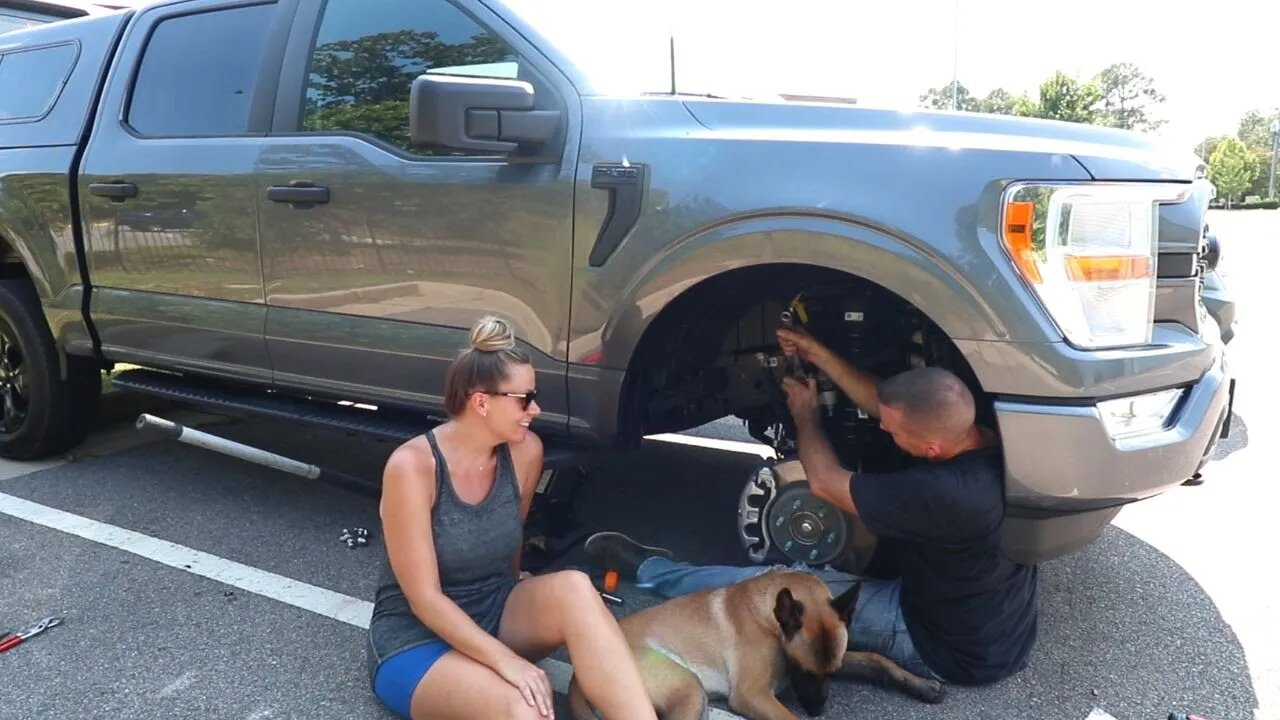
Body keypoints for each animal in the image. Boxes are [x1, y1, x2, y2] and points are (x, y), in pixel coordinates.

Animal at [568, 568, 942, 712]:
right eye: (803, 671)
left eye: (831, 674)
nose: (818, 711)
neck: (769, 619)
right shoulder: (752, 695)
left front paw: (920, 684)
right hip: (688, 690)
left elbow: (877, 658)